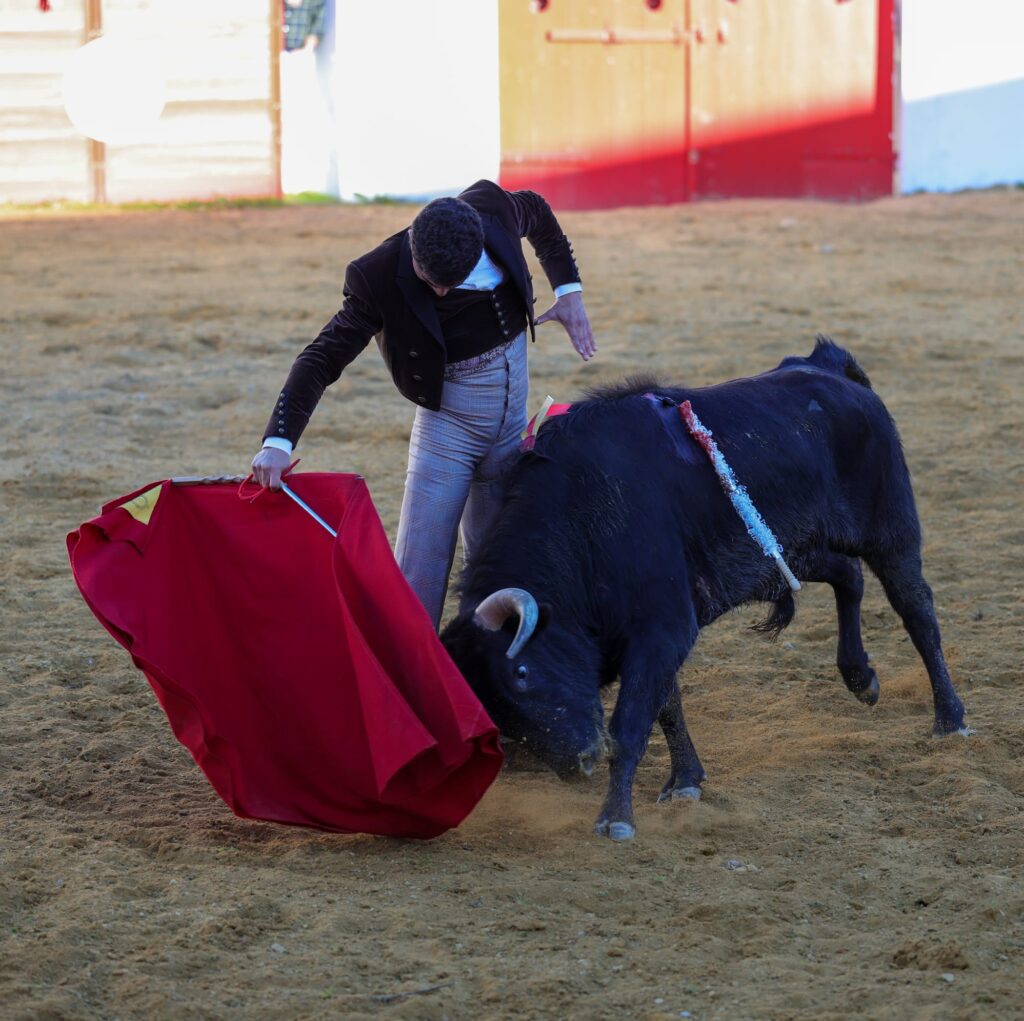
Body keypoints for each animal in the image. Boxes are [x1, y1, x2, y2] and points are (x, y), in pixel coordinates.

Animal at [441, 337, 970, 841]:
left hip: (891, 531)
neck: (581, 520)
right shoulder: (653, 632)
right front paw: (685, 781)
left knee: (917, 612)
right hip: (791, 551)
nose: (581, 763)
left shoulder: (662, 628)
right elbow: (667, 706)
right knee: (848, 575)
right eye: (495, 710)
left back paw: (950, 719)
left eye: (522, 672)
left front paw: (615, 818)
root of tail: (829, 367)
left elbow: (633, 721)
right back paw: (860, 678)